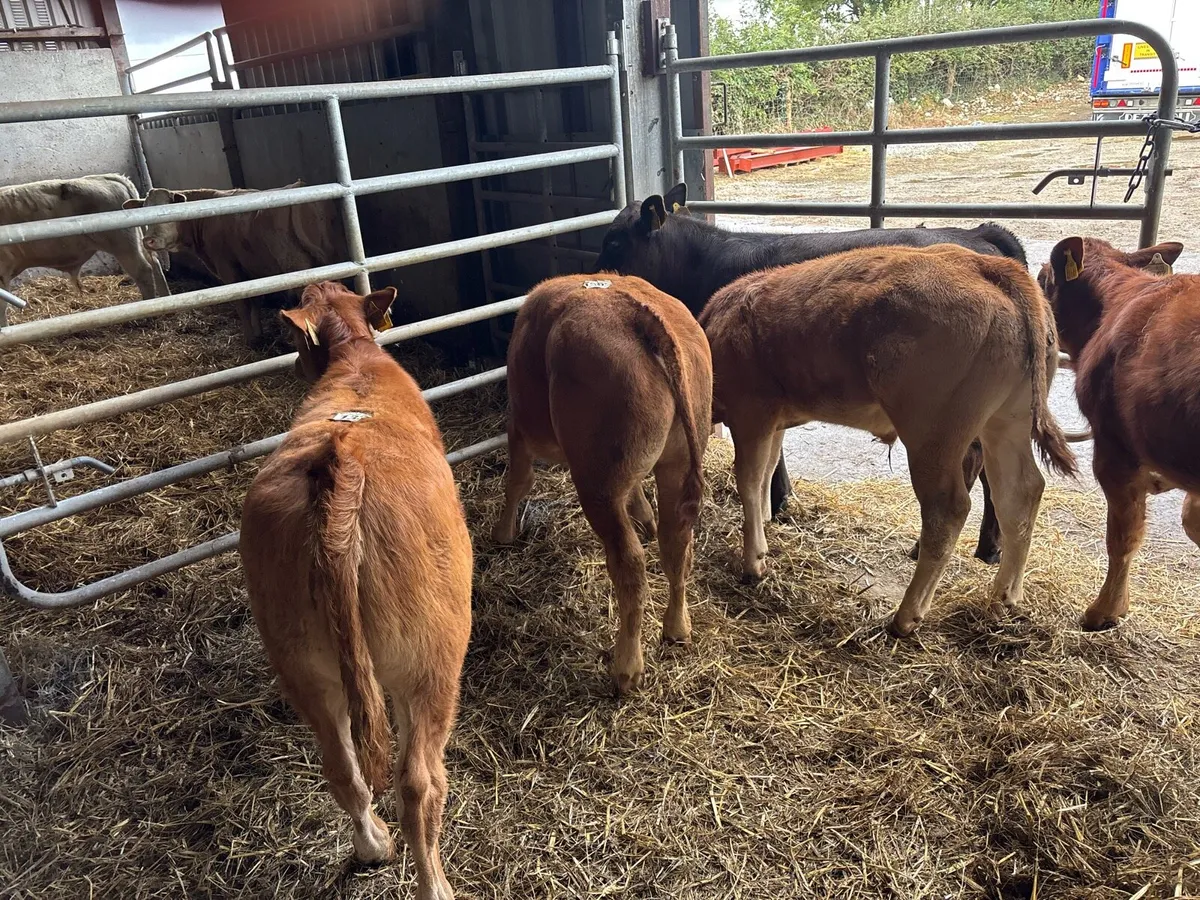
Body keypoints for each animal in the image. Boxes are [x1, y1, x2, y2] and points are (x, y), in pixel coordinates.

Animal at [123, 184, 346, 345]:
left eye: (168, 212)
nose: (148, 240)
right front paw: (258, 335)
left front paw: (250, 339)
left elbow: (241, 304)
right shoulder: (250, 272)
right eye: (143, 213)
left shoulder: (229, 270)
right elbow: (254, 301)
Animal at [239, 281, 471, 899]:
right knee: (419, 783)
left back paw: (372, 846)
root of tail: (342, 465)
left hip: (301, 664)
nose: (294, 362)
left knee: (341, 769)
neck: (354, 358)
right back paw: (436, 885)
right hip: (431, 662)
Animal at [492, 274, 712, 695]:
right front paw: (643, 515)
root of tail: (639, 312)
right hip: (676, 461)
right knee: (677, 542)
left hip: (597, 484)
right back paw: (677, 626)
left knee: (630, 564)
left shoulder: (519, 426)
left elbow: (518, 481)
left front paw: (503, 533)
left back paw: (626, 667)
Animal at [594, 183, 1033, 566]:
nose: (595, 276)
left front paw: (775, 503)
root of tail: (977, 234)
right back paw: (988, 547)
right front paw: (778, 504)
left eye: (614, 241)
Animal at [699, 243, 1076, 637]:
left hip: (932, 437)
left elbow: (749, 480)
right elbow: (768, 470)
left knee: (948, 510)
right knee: (1020, 494)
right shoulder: (775, 422)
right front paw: (767, 526)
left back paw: (906, 616)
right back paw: (1004, 597)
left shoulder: (752, 413)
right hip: (1005, 423)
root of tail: (982, 264)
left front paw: (753, 560)